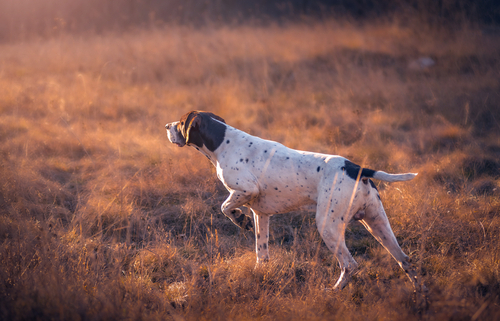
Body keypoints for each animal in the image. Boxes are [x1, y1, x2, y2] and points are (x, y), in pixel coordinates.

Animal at [167, 110, 418, 290]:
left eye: (181, 122)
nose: (167, 126)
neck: (223, 142)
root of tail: (356, 168)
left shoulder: (246, 189)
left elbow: (224, 207)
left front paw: (239, 219)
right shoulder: (261, 214)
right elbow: (261, 252)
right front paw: (260, 273)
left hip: (328, 226)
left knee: (350, 265)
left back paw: (333, 292)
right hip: (377, 224)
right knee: (405, 261)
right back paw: (420, 296)